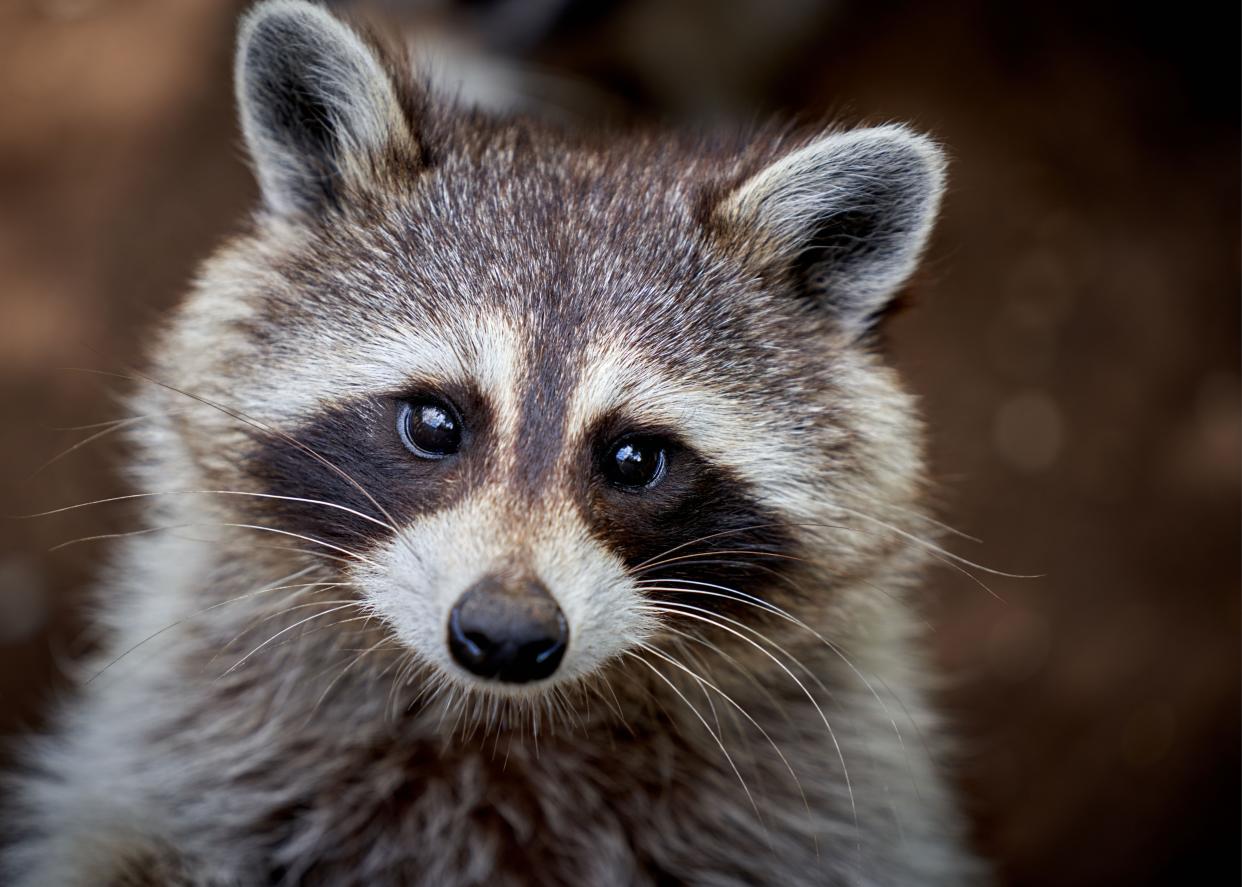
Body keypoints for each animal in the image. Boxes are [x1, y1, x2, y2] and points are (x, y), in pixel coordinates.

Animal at [4, 1, 983, 884]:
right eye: (435, 422)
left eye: (635, 459)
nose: (507, 636)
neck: (497, 719)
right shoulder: (196, 735)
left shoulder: (816, 783)